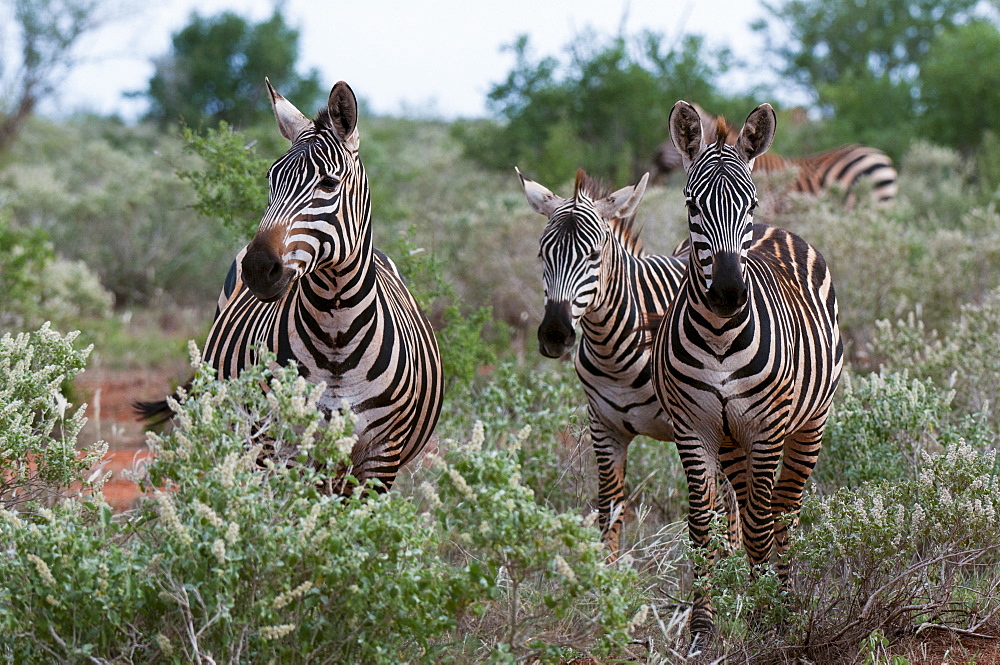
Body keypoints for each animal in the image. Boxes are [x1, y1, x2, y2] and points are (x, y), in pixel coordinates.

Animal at [138, 79, 442, 492]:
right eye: (271, 179)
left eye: (329, 182)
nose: (257, 268)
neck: (336, 337)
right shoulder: (277, 447)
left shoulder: (381, 457)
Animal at [516, 165, 736, 556]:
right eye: (542, 254)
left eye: (593, 255)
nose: (555, 335)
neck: (612, 353)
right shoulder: (605, 428)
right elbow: (610, 512)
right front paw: (604, 571)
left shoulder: (695, 429)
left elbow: (711, 512)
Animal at [648, 102, 844, 640]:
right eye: (691, 204)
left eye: (748, 206)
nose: (729, 293)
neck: (719, 335)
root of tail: (779, 230)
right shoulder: (693, 429)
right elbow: (702, 526)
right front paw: (703, 626)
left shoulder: (767, 429)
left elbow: (759, 522)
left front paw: (768, 616)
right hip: (731, 439)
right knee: (744, 506)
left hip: (808, 424)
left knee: (782, 511)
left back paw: (786, 598)